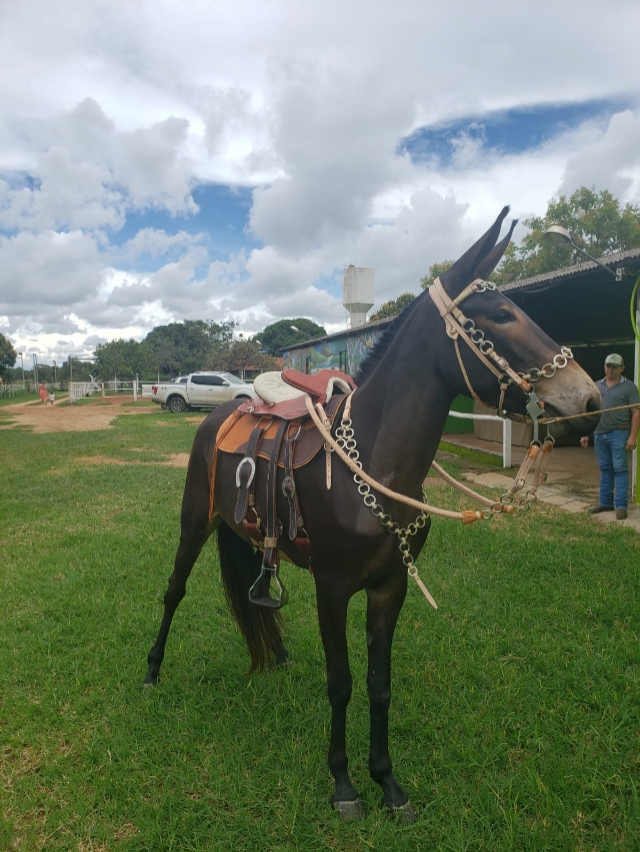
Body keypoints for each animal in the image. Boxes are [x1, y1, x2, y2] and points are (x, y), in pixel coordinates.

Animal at [145, 206, 600, 820]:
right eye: (503, 315)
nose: (589, 399)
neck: (376, 464)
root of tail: (220, 414)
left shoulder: (390, 587)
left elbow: (379, 683)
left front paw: (387, 781)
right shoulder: (333, 588)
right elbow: (341, 682)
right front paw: (343, 783)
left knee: (256, 592)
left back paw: (278, 653)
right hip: (195, 521)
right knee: (174, 590)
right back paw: (152, 669)